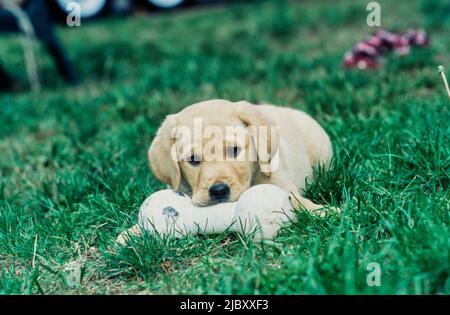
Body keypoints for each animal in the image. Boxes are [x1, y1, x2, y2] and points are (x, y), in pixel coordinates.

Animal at [118, 100, 334, 243]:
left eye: (234, 150)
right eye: (193, 159)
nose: (219, 191)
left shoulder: (280, 184)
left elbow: (298, 202)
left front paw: (326, 212)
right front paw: (130, 234)